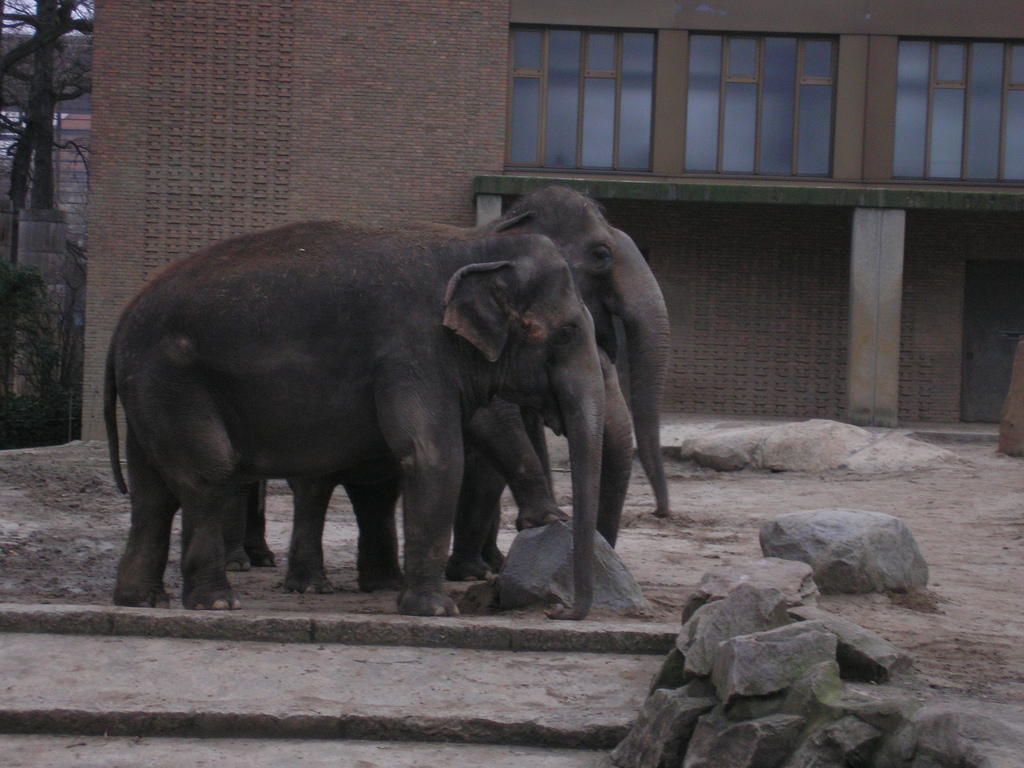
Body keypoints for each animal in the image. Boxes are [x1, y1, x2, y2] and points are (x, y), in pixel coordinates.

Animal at [104, 221, 606, 619]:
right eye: (566, 332)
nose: (557, 611)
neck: (476, 247)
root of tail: (121, 321)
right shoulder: (412, 352)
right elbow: (434, 457)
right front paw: (437, 611)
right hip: (173, 381)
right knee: (206, 474)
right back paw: (218, 603)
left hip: (148, 393)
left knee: (152, 495)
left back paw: (141, 601)